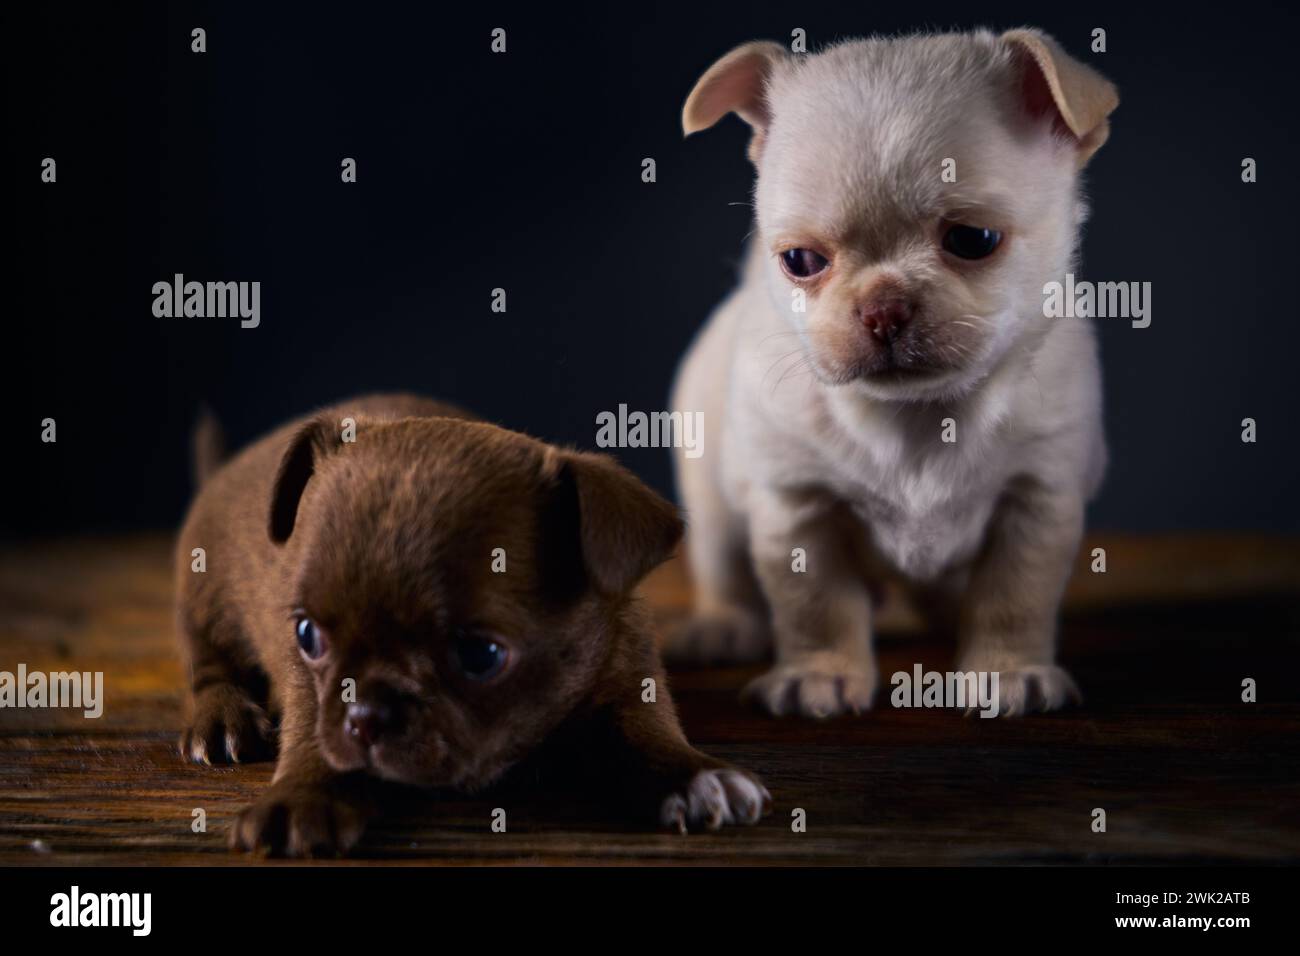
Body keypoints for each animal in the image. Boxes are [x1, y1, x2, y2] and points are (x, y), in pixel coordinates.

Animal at [176, 392, 764, 858]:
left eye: (480, 654)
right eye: (307, 637)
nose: (365, 716)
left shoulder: (628, 674)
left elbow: (647, 729)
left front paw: (693, 775)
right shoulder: (304, 684)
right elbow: (312, 735)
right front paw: (300, 796)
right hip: (205, 595)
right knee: (209, 662)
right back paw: (222, 716)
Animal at [670, 29, 1118, 717]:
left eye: (974, 239)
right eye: (800, 261)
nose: (883, 307)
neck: (920, 415)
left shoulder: (1037, 498)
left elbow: (1014, 596)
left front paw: (1006, 672)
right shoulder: (797, 507)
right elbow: (816, 605)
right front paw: (820, 674)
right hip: (713, 495)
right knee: (723, 565)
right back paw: (723, 625)